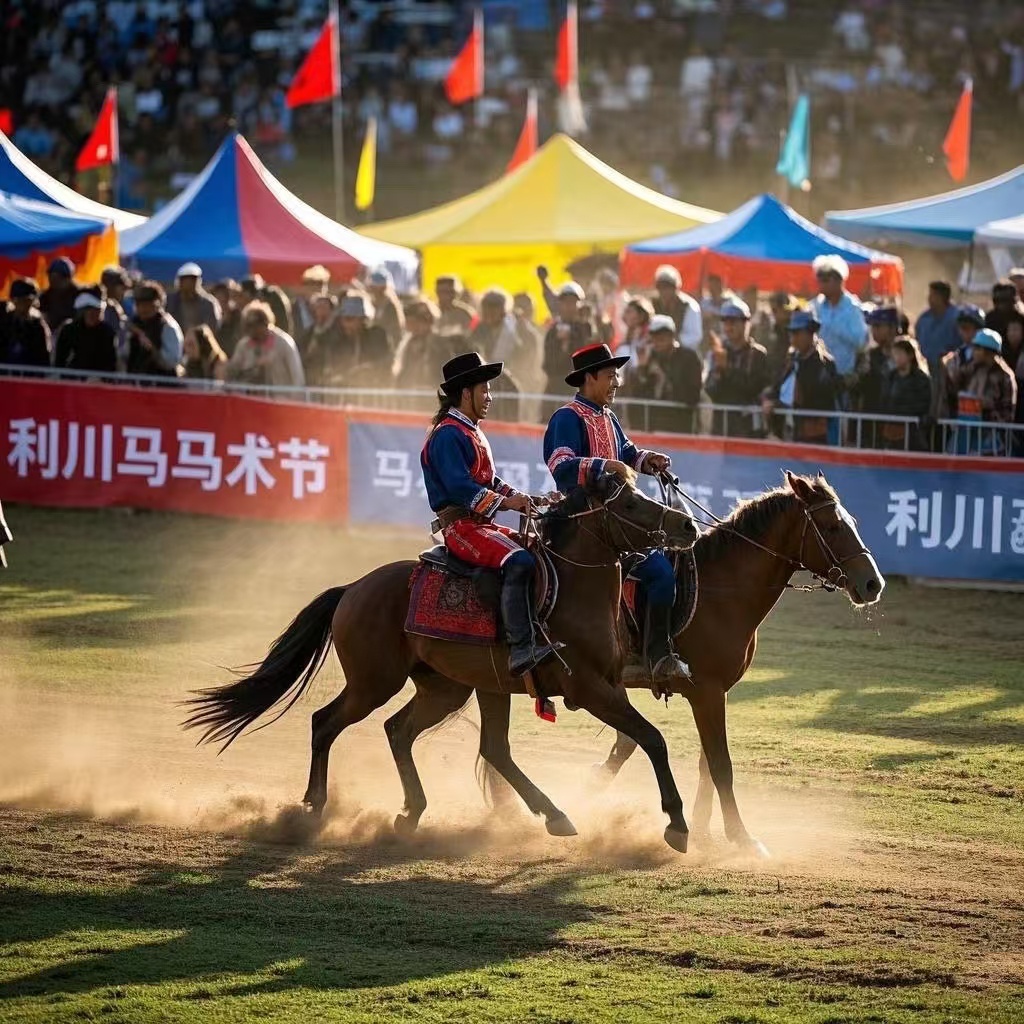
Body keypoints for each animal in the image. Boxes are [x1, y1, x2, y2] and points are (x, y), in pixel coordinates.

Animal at [184, 475, 700, 851]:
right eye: (629, 504)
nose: (687, 527)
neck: (572, 590)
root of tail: (353, 589)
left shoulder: (603, 686)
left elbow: (640, 739)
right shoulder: (590, 689)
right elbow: (652, 739)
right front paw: (676, 823)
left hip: (452, 688)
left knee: (423, 735)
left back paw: (434, 811)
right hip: (375, 683)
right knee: (325, 722)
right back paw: (313, 806)